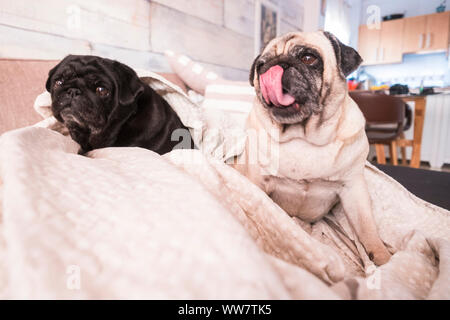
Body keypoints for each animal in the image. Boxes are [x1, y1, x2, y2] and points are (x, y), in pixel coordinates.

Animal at [234, 31, 392, 264]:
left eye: (308, 58)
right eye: (260, 66)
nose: (275, 65)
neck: (304, 136)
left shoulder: (354, 188)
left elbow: (366, 226)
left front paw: (382, 257)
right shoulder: (257, 180)